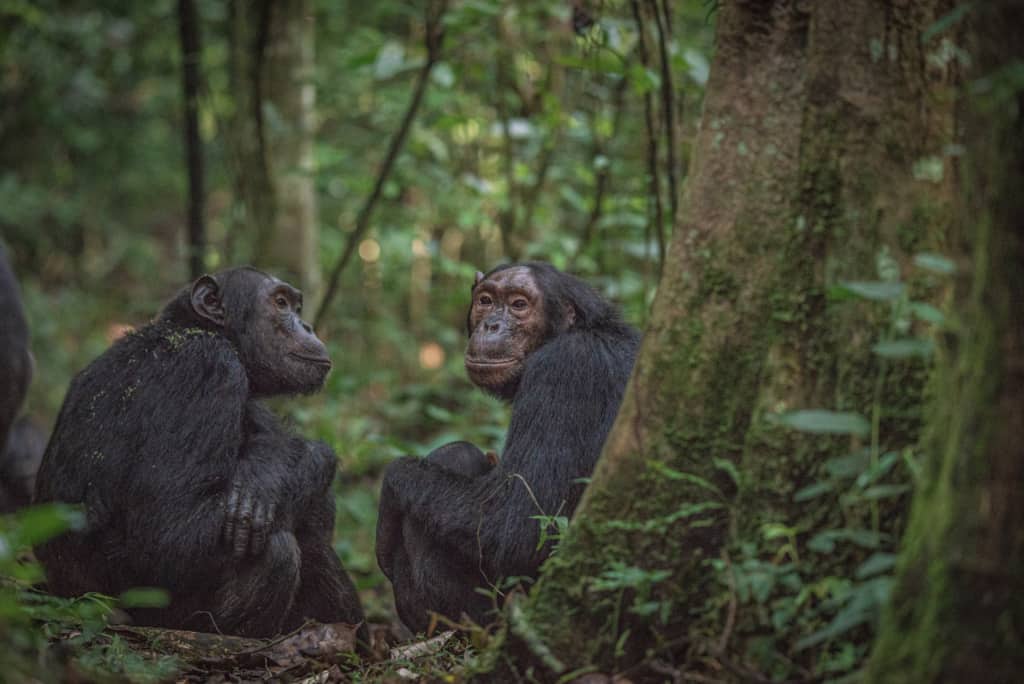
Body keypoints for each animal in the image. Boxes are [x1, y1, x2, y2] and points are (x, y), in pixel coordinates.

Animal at [34, 268, 366, 643]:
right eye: (281, 303)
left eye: (296, 306)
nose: (307, 326)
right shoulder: (208, 369)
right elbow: (172, 533)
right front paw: (276, 470)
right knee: (278, 550)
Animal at [376, 260, 638, 630]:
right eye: (486, 300)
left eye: (518, 305)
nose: (492, 324)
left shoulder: (564, 371)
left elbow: (516, 525)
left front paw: (390, 487)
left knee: (456, 456)